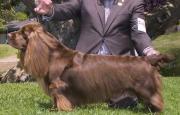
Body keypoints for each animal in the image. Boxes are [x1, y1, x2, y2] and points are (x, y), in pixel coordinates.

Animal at [7, 21, 172, 112]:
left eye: (22, 32)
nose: (8, 36)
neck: (51, 55)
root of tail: (147, 59)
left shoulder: (58, 85)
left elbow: (60, 98)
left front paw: (60, 110)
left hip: (145, 87)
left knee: (157, 100)